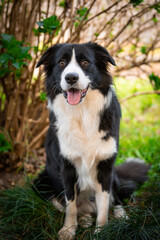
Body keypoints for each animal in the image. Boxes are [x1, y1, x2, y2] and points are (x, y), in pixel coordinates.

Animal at [35, 42, 150, 239]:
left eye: (85, 62)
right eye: (61, 63)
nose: (71, 78)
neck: (82, 113)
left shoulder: (105, 164)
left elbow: (103, 203)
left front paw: (102, 230)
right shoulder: (67, 167)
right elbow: (71, 204)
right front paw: (69, 229)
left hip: (113, 175)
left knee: (116, 198)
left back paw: (122, 217)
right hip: (41, 181)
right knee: (69, 205)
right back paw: (85, 219)